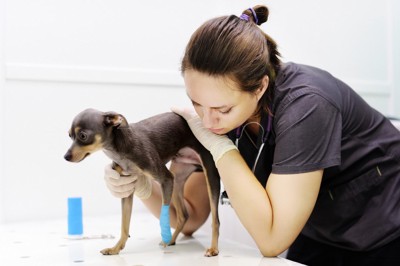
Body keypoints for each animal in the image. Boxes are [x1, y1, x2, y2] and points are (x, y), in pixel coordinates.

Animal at [64, 108, 220, 256]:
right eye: (70, 136)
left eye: (83, 136)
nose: (65, 156)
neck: (121, 147)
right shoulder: (127, 188)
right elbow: (124, 225)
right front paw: (116, 248)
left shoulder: (166, 179)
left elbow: (164, 214)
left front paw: (164, 233)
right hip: (178, 179)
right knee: (184, 215)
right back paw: (171, 240)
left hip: (209, 173)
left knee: (215, 220)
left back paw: (212, 248)